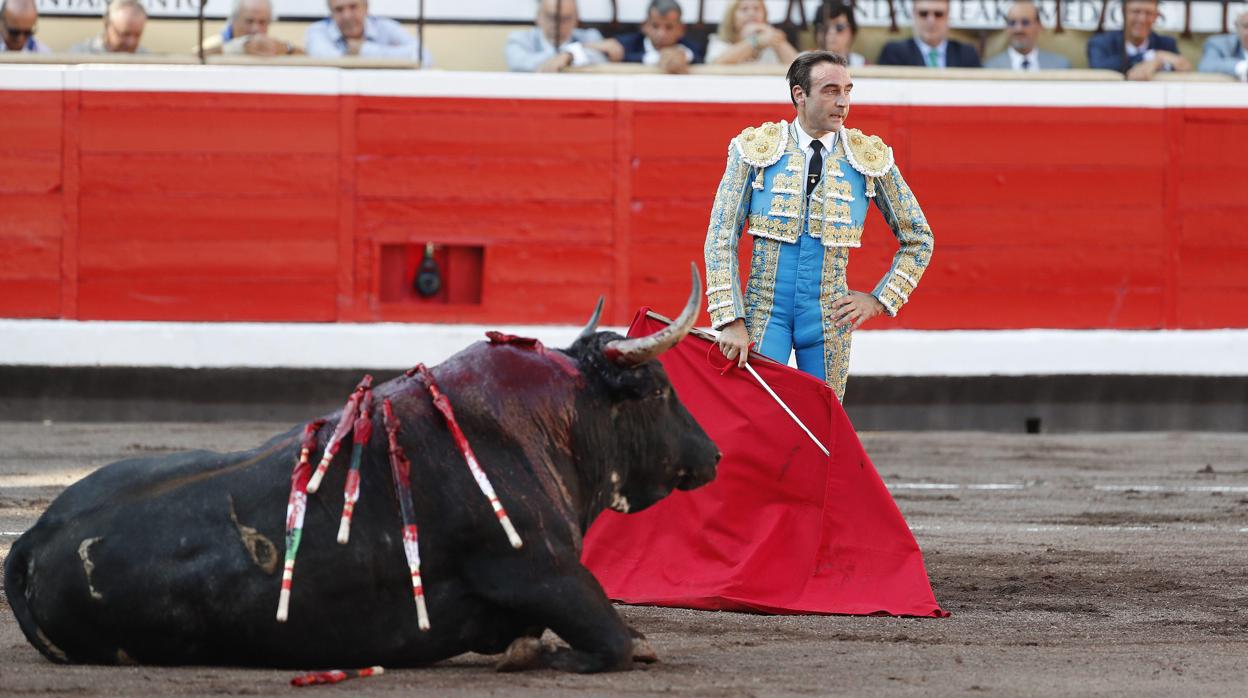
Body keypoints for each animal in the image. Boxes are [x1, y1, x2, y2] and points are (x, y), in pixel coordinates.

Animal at [4, 265, 723, 674]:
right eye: (661, 388)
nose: (713, 454)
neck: (544, 419)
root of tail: (34, 537)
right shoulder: (548, 572)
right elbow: (617, 644)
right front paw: (536, 652)